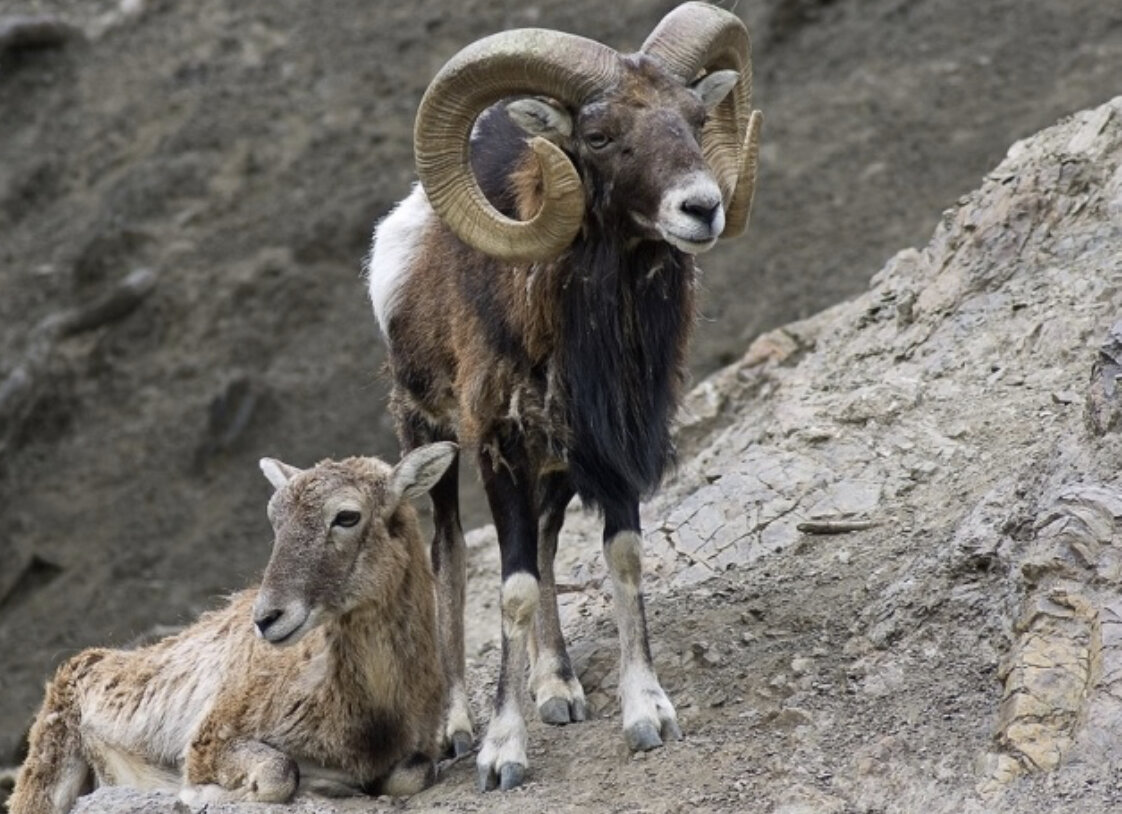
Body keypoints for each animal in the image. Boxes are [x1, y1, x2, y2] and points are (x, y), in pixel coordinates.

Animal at [8, 444, 455, 812]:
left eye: (347, 516)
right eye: (275, 519)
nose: (267, 618)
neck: (370, 714)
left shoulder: (416, 752)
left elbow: (412, 773)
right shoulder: (212, 737)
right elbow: (277, 774)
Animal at [368, 0, 762, 785]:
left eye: (694, 119)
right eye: (600, 135)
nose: (700, 208)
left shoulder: (613, 445)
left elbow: (621, 557)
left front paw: (646, 715)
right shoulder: (500, 450)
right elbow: (511, 586)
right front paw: (501, 753)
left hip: (552, 469)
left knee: (548, 544)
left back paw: (558, 688)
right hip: (430, 440)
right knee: (450, 559)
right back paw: (456, 728)